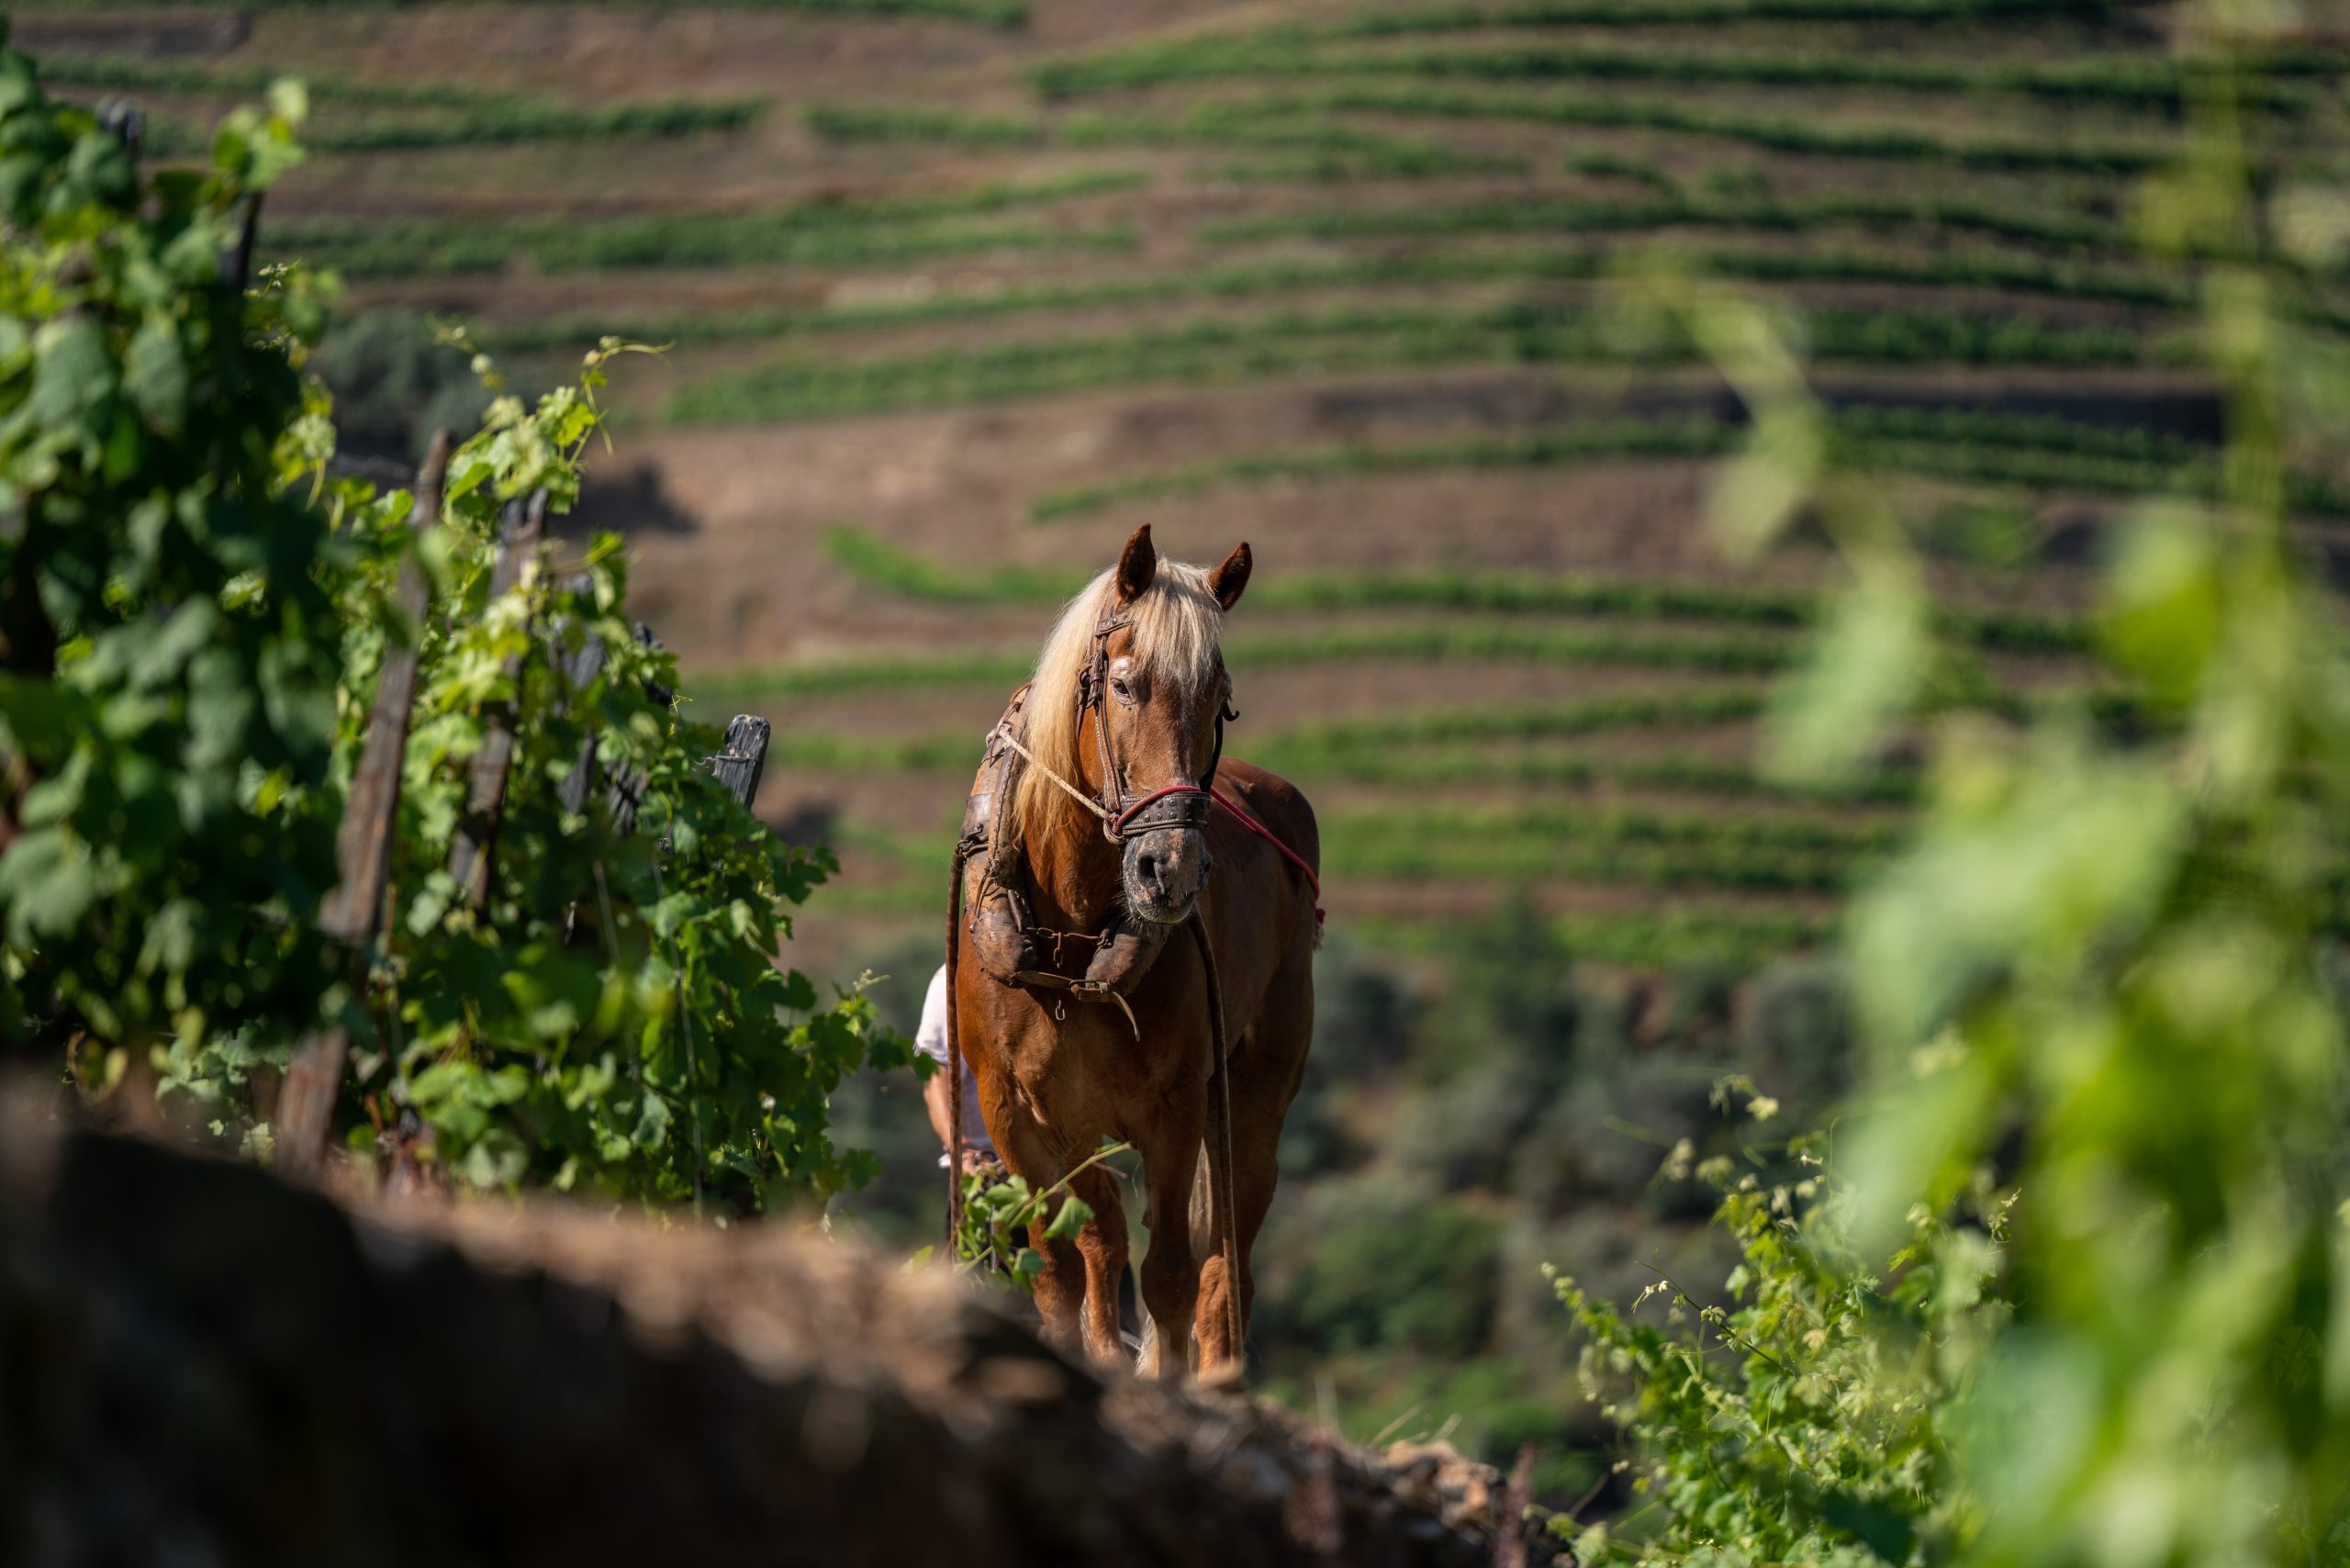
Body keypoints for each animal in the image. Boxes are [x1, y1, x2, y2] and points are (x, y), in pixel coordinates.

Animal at [954, 524, 1325, 1372]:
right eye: (1124, 686)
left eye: (1219, 700)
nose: (1172, 867)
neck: (1069, 942)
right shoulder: (1016, 1115)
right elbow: (1068, 1262)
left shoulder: (1176, 1109)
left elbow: (1170, 1280)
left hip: (1251, 1102)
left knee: (1227, 1272)